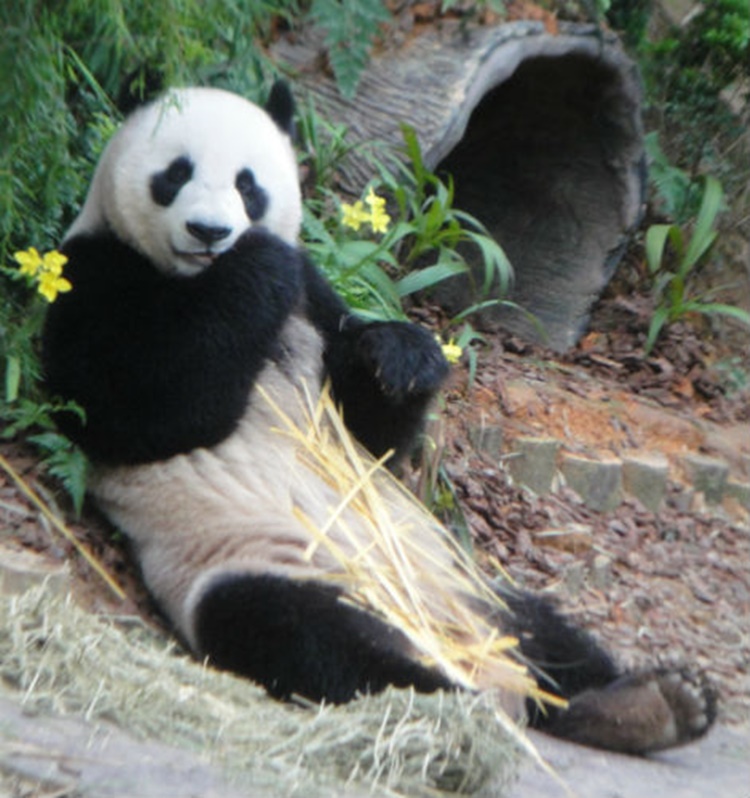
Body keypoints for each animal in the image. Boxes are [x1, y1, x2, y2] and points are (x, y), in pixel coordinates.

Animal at [39, 81, 716, 756]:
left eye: (248, 185)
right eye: (175, 174)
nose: (210, 230)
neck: (191, 276)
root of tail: (461, 645)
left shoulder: (313, 298)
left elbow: (374, 436)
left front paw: (400, 356)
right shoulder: (92, 272)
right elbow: (139, 410)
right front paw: (253, 264)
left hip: (456, 576)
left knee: (541, 630)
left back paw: (650, 704)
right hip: (260, 564)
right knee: (319, 641)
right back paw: (463, 707)